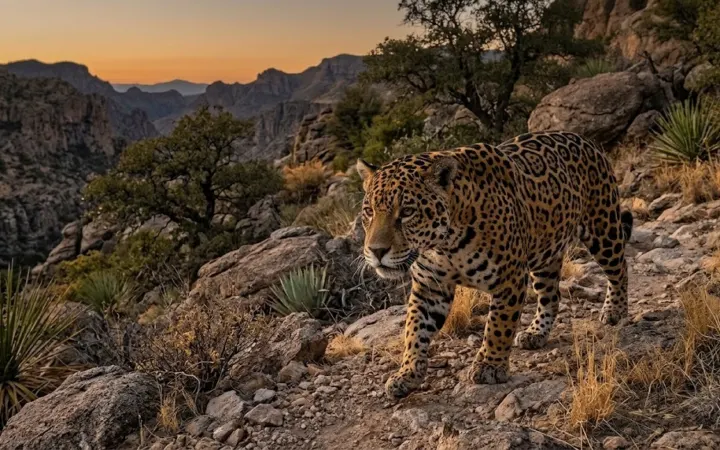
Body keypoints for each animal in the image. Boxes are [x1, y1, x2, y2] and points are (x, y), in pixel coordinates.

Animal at [356, 131, 633, 399]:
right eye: (369, 211)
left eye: (407, 212)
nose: (376, 251)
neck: (445, 244)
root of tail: (586, 139)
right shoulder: (430, 288)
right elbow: (414, 331)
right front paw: (407, 373)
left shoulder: (509, 280)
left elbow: (498, 326)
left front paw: (489, 366)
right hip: (545, 254)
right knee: (551, 295)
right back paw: (536, 333)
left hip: (603, 229)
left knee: (619, 269)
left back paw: (615, 310)